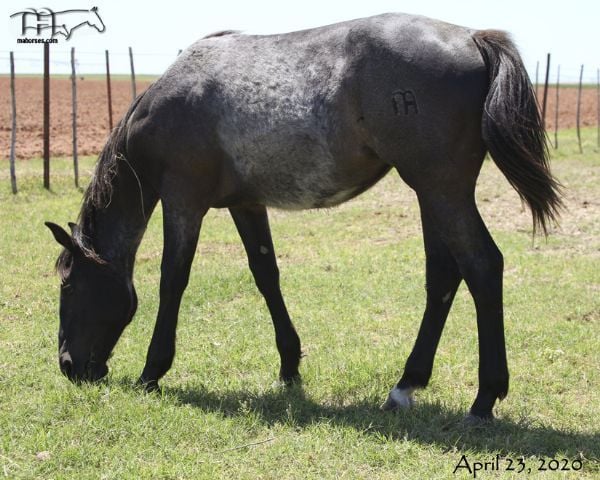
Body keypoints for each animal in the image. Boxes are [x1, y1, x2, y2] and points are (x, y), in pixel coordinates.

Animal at [45, 12, 564, 420]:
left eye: (68, 286)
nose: (69, 366)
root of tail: (474, 37)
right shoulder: (245, 204)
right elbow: (265, 274)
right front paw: (289, 366)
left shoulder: (182, 201)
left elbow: (173, 279)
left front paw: (152, 371)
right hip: (431, 193)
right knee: (443, 276)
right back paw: (405, 386)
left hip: (441, 190)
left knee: (482, 266)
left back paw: (484, 399)